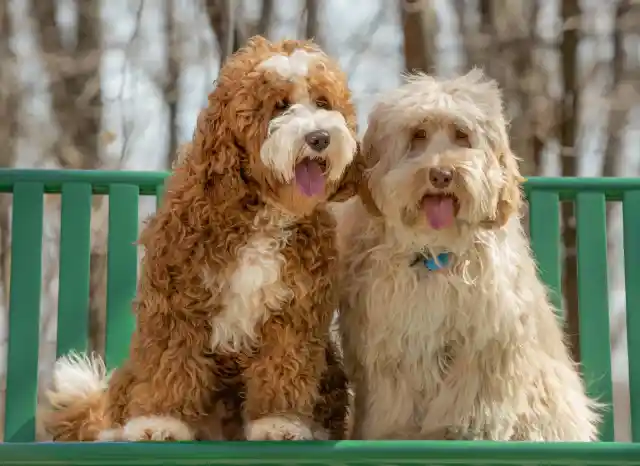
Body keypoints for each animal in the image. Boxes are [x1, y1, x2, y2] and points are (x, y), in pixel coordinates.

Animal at [41, 35, 360, 440]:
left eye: (323, 102)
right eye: (280, 106)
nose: (319, 137)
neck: (262, 213)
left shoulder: (294, 313)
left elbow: (284, 368)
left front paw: (279, 422)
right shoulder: (177, 298)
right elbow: (171, 363)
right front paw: (159, 421)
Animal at [340, 69, 600, 440]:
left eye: (462, 135)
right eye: (417, 135)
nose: (441, 174)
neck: (435, 252)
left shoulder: (487, 337)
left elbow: (472, 396)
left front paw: (464, 431)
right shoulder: (389, 342)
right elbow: (395, 399)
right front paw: (395, 432)